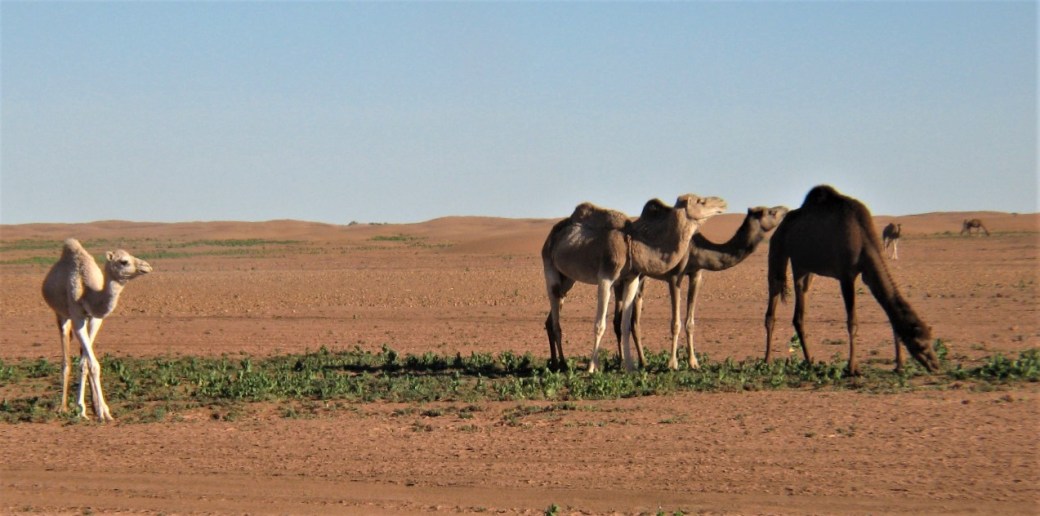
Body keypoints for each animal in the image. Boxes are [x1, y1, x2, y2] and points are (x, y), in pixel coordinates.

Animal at [41, 239, 152, 421]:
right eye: (124, 261)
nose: (147, 266)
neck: (88, 292)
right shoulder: (77, 317)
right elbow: (92, 364)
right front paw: (92, 412)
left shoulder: (95, 319)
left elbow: (87, 363)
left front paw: (99, 409)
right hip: (61, 314)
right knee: (66, 360)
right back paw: (63, 407)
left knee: (82, 356)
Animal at [543, 194, 727, 373]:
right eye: (700, 201)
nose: (722, 203)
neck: (632, 245)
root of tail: (552, 235)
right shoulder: (606, 277)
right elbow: (600, 325)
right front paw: (592, 367)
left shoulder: (631, 278)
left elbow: (625, 325)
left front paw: (630, 366)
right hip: (549, 266)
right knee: (555, 317)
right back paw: (562, 364)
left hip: (568, 279)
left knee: (556, 308)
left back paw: (556, 363)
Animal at [612, 205, 789, 370]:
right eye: (771, 212)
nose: (785, 209)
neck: (696, 248)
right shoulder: (674, 277)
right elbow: (675, 323)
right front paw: (673, 364)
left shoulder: (696, 274)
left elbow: (690, 322)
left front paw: (693, 362)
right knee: (619, 319)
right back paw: (622, 363)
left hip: (641, 276)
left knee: (633, 320)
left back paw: (642, 362)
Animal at [763, 185, 940, 375]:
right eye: (921, 345)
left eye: (931, 340)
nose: (935, 365)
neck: (862, 238)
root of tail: (781, 225)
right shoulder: (846, 276)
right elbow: (852, 321)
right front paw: (853, 367)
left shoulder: (868, 274)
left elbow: (890, 315)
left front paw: (899, 365)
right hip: (780, 249)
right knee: (775, 298)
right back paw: (768, 361)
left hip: (805, 267)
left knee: (799, 310)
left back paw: (809, 361)